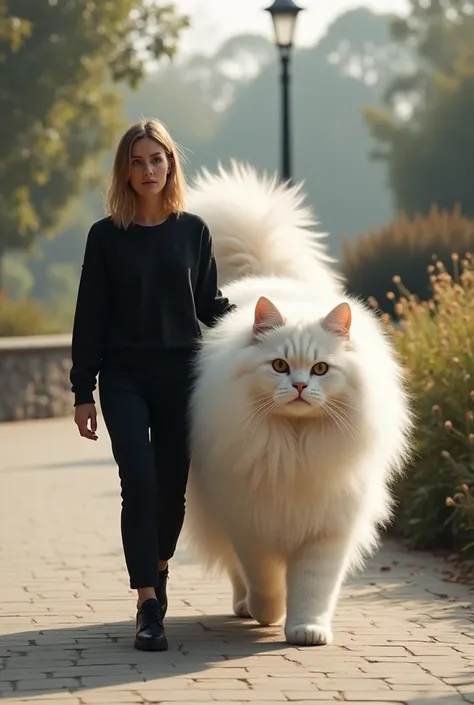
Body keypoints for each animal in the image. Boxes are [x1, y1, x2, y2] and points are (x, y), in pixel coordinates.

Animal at [183, 162, 412, 648]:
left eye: (322, 369)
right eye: (280, 365)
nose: (303, 386)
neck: (295, 444)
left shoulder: (328, 528)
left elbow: (313, 586)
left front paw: (307, 630)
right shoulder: (250, 521)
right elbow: (263, 576)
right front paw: (267, 615)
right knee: (237, 574)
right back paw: (244, 607)